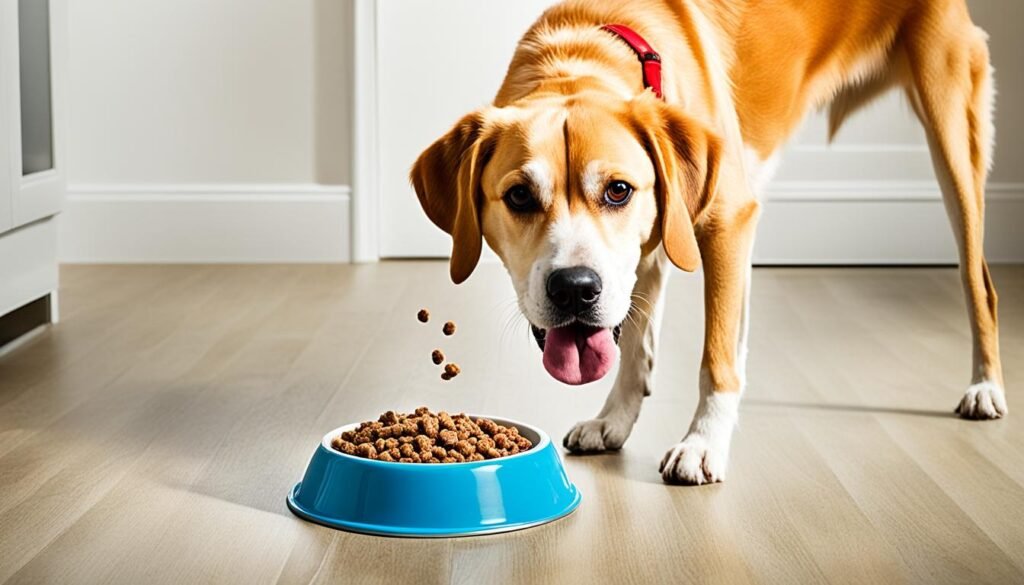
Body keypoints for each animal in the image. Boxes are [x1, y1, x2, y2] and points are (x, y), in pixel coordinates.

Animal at [409, 0, 1007, 485]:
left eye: (618, 190)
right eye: (519, 196)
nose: (575, 289)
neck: (586, 51)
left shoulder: (727, 222)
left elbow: (716, 356)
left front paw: (702, 445)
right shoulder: (653, 251)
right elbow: (635, 347)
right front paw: (613, 420)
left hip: (955, 139)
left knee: (980, 281)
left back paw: (985, 388)